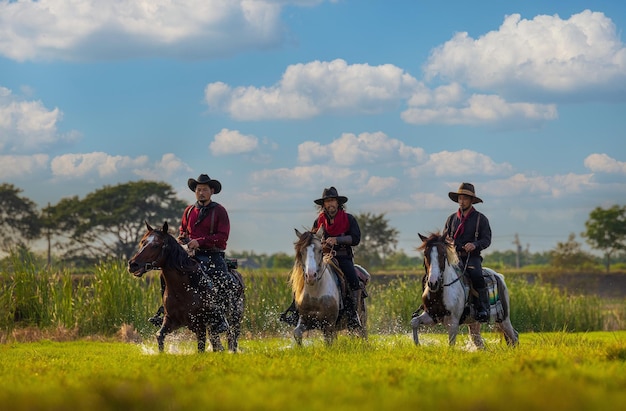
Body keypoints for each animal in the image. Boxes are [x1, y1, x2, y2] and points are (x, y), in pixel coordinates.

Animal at [127, 222, 244, 354]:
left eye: (156, 245)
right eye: (142, 242)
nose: (133, 265)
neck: (182, 289)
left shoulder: (200, 325)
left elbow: (201, 348)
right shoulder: (172, 320)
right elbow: (159, 335)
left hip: (234, 319)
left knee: (232, 339)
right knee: (217, 341)